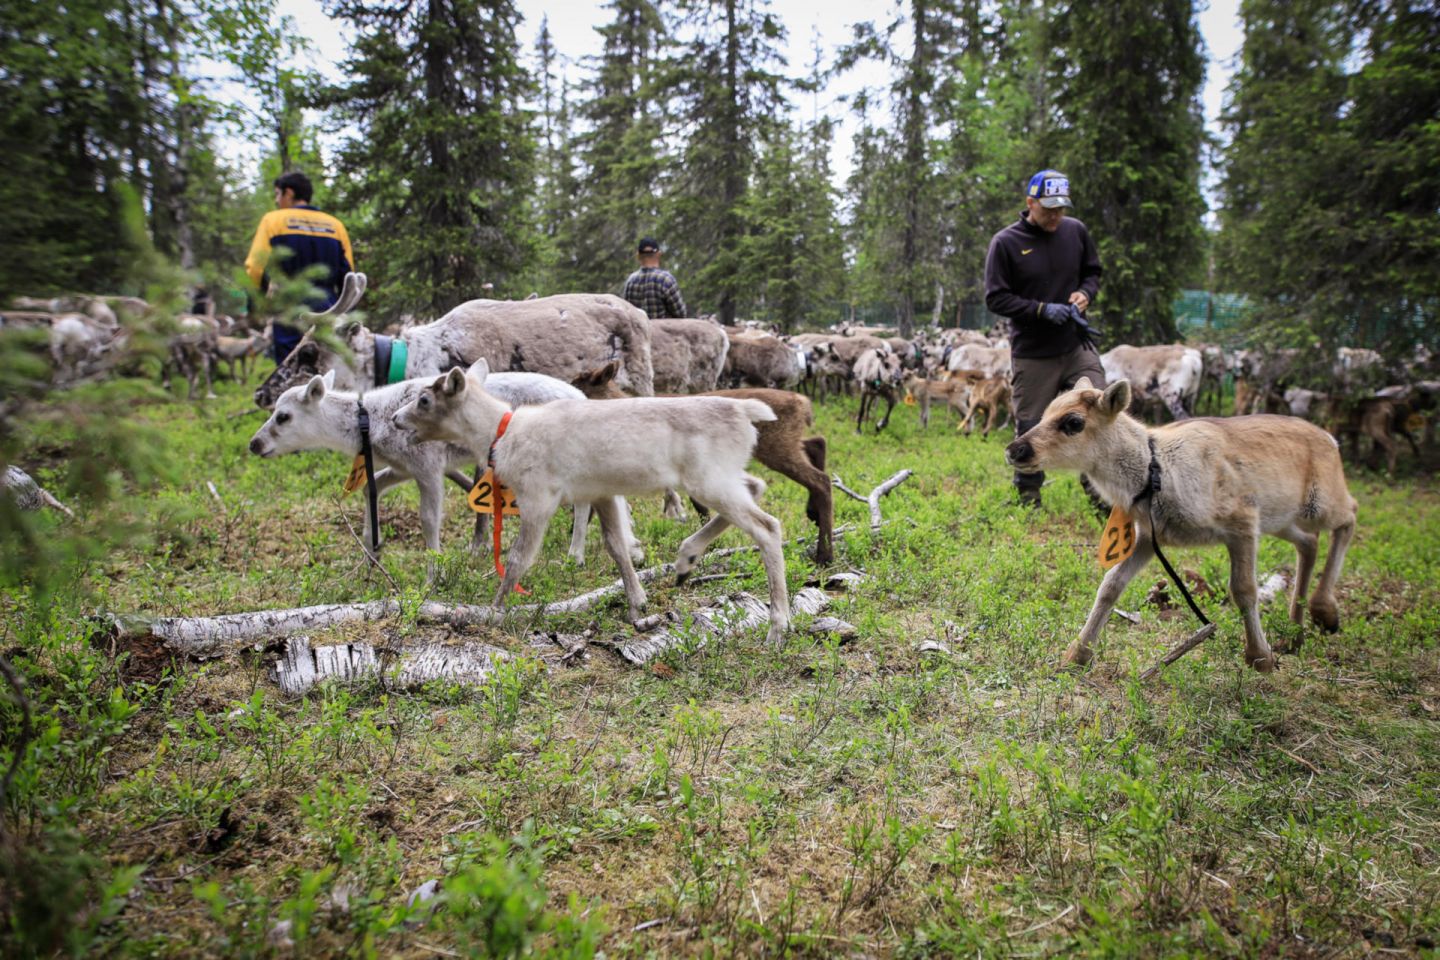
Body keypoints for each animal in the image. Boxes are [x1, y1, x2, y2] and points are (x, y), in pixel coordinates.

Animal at [394, 359, 789, 644]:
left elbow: (519, 558)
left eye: (425, 399)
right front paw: (638, 604)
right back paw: (686, 558)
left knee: (768, 526)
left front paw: (493, 611)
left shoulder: (538, 495)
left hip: (707, 478)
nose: (396, 418)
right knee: (756, 485)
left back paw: (778, 626)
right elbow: (616, 546)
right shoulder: (601, 492)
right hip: (718, 476)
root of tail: (747, 413)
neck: (502, 432)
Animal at [1008, 379, 1353, 673]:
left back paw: (1324, 611)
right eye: (1045, 412)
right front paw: (1076, 655)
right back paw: (1294, 636)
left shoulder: (1242, 519)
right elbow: (1110, 584)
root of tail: (1332, 440)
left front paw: (1259, 657)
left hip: (1318, 502)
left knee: (1349, 514)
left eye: (1073, 422)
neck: (1157, 473)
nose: (1015, 449)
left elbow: (1243, 589)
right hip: (1278, 519)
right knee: (1309, 542)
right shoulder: (1149, 537)